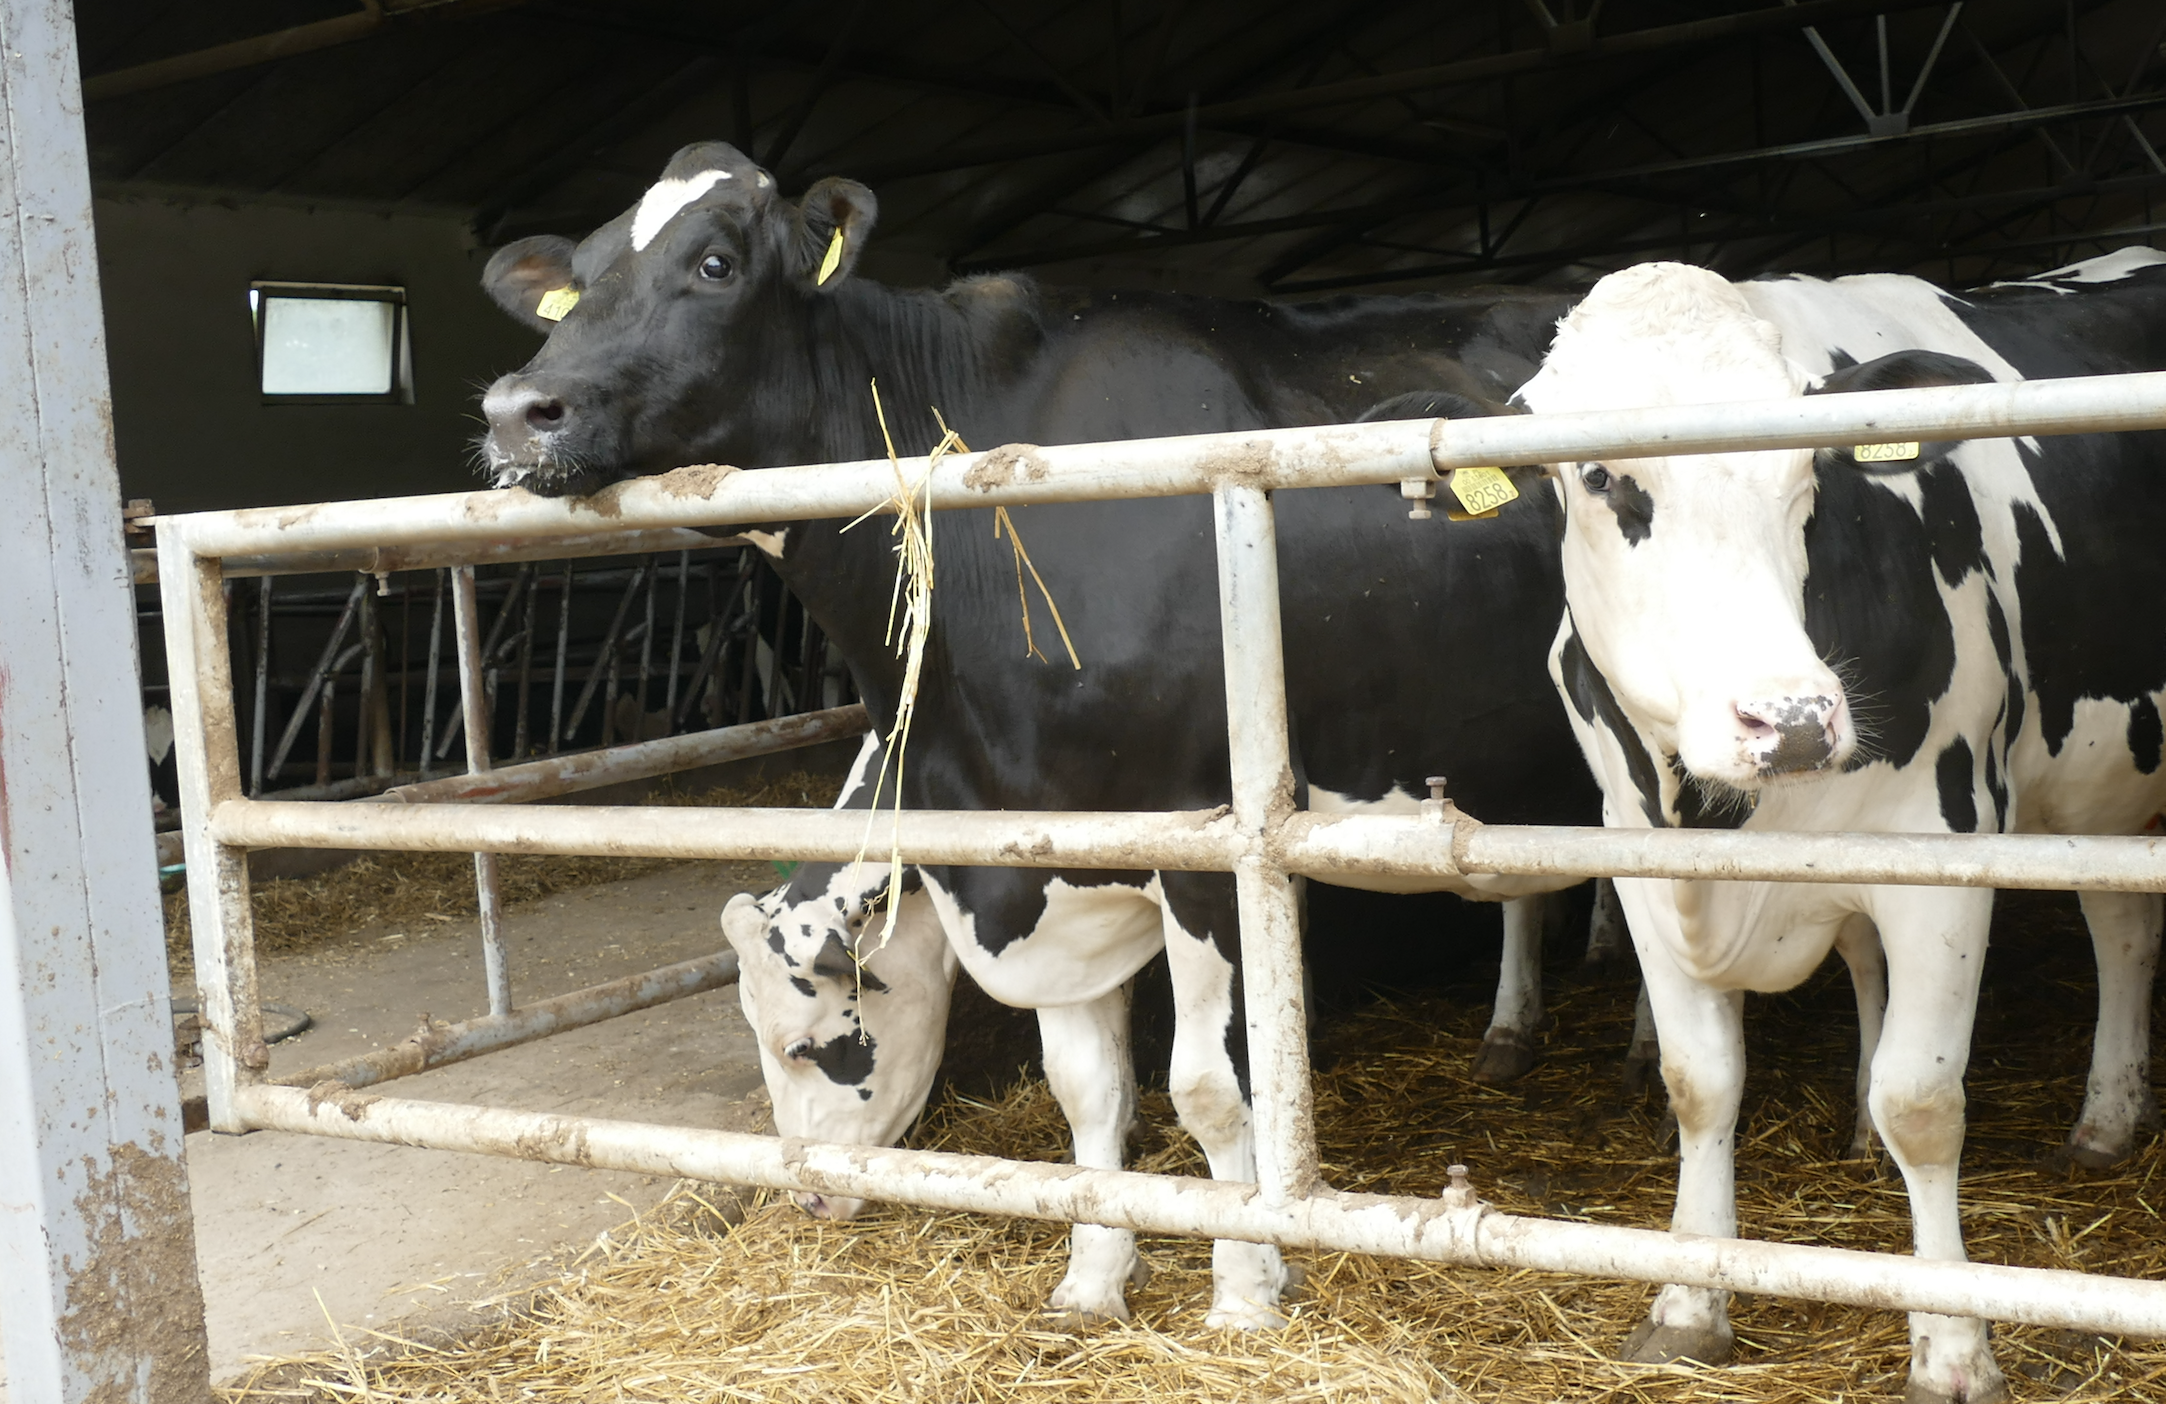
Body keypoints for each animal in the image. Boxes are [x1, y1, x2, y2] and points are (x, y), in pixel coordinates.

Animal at [487, 139, 1611, 1326]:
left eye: (713, 262)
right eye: (576, 279)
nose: (516, 410)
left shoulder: (1215, 845)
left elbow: (1212, 1092)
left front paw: (1246, 1288)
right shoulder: (1035, 855)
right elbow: (1087, 1092)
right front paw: (1093, 1280)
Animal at [1516, 254, 2166, 1404]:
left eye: (1809, 468)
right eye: (1598, 478)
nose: (1791, 721)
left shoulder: (1946, 847)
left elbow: (1923, 1102)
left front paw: (1954, 1348)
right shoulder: (1634, 855)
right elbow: (1700, 1084)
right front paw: (1687, 1303)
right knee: (2120, 926)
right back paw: (2103, 1120)